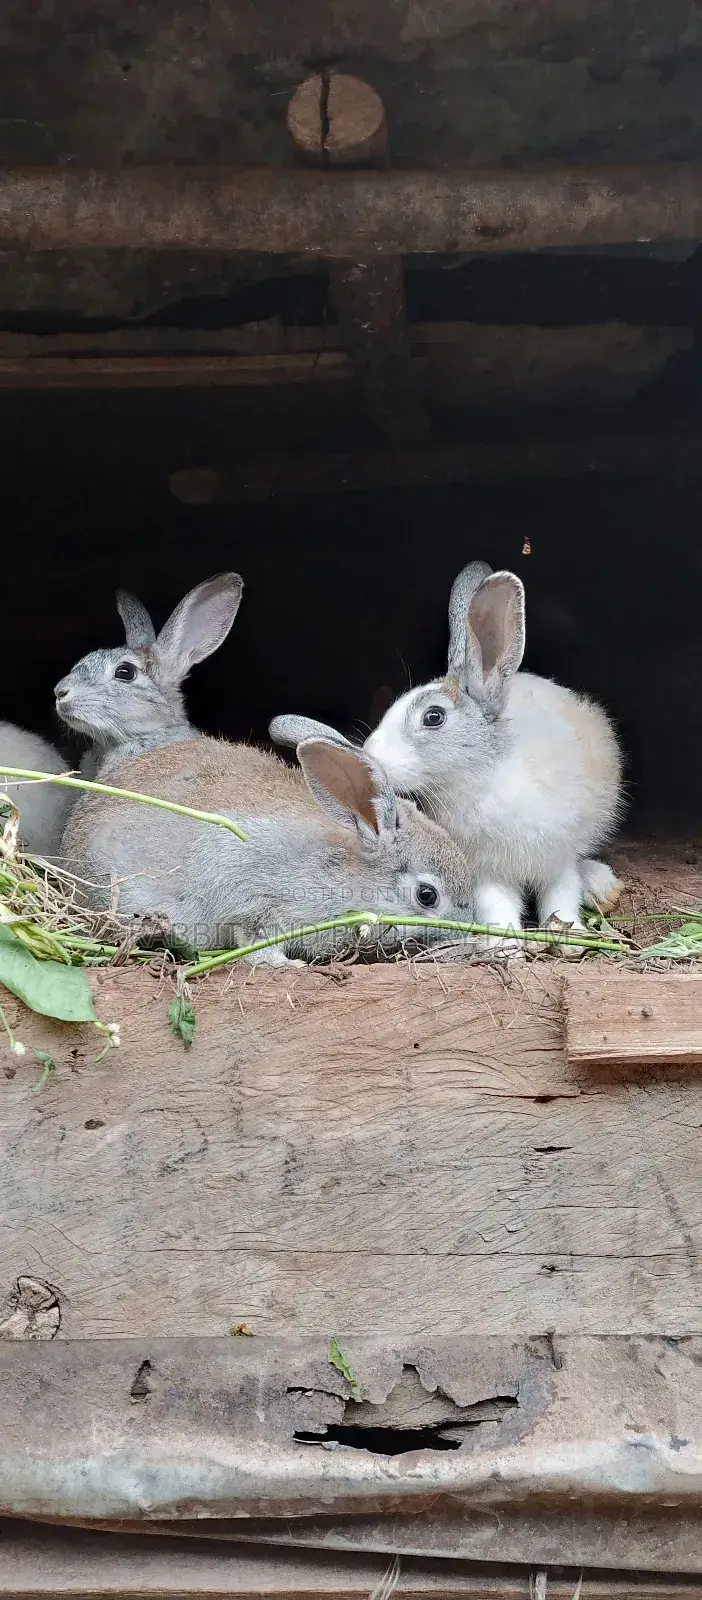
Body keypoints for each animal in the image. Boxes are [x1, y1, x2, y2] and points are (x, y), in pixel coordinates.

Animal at [359, 560, 623, 940]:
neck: (477, 776)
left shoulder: (556, 858)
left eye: (433, 717)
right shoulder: (487, 869)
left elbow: (561, 893)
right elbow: (497, 904)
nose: (370, 757)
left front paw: (569, 936)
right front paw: (504, 943)